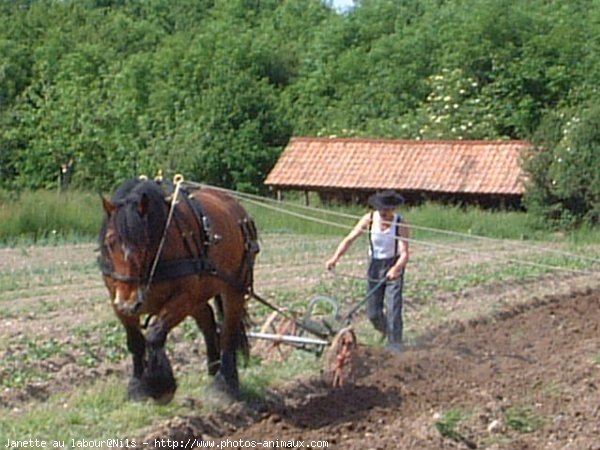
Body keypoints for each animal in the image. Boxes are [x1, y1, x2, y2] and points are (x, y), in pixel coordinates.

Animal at [98, 179, 258, 404]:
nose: (129, 300)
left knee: (228, 331)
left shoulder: (183, 297)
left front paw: (160, 385)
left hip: (235, 287)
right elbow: (136, 342)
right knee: (208, 320)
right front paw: (137, 387)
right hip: (201, 292)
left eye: (144, 242)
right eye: (110, 242)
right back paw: (213, 368)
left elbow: (155, 334)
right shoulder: (117, 301)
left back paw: (225, 383)